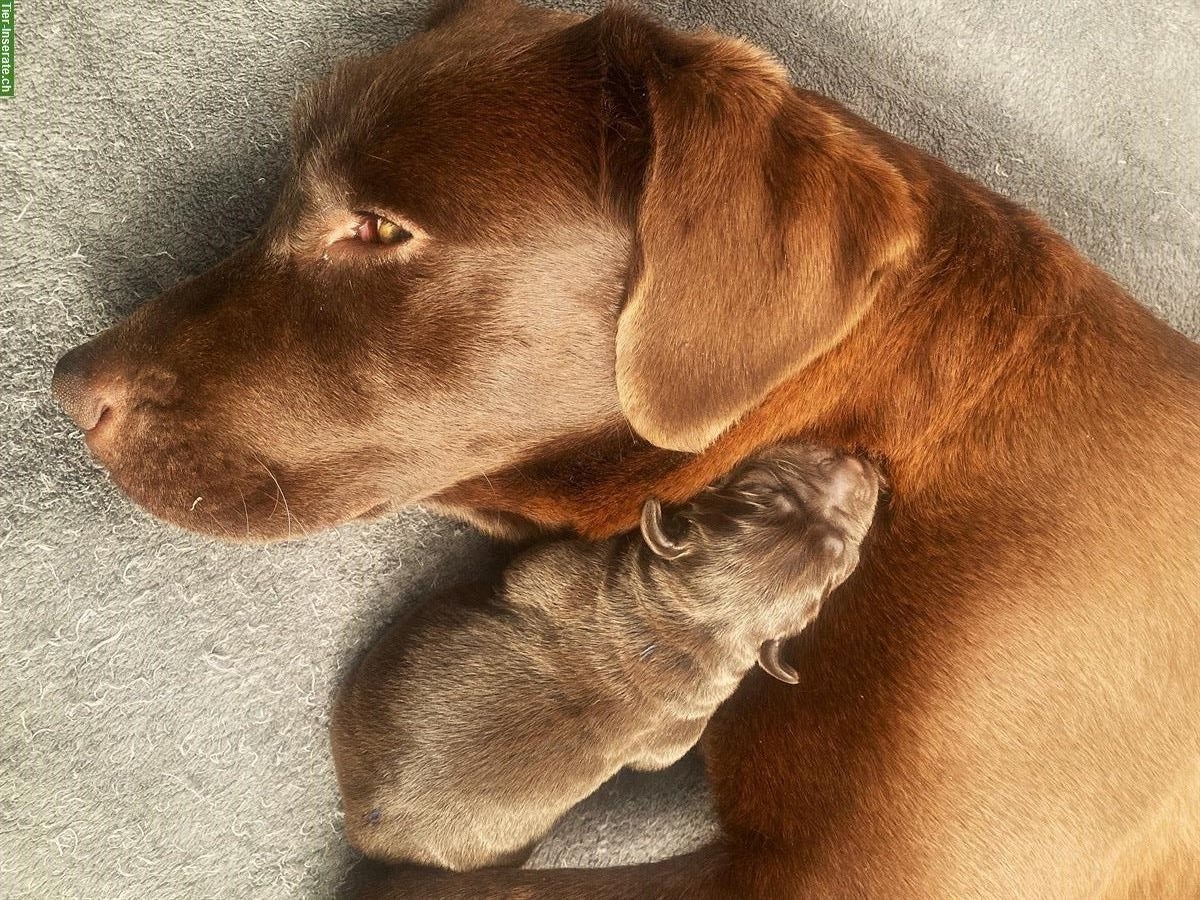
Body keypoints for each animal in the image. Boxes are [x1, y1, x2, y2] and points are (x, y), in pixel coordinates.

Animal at [333, 448, 878, 878]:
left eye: (840, 563)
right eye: (764, 490)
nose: (857, 467)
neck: (689, 634)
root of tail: (368, 827)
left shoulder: (560, 568)